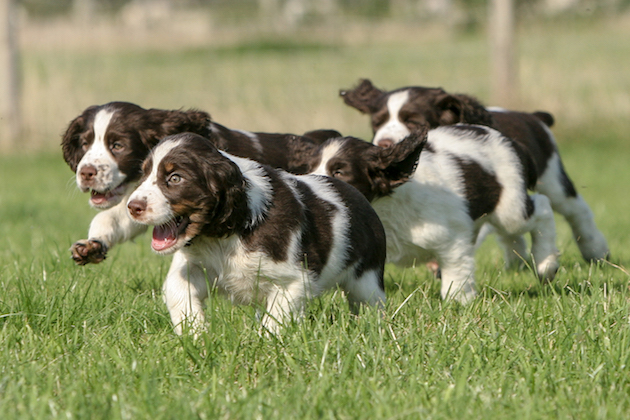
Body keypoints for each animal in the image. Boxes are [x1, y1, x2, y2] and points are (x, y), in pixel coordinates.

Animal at [126, 133, 388, 334]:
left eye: (175, 178)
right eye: (144, 174)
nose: (132, 206)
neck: (225, 235)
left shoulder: (293, 280)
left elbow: (276, 320)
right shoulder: (196, 265)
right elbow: (177, 289)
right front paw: (195, 333)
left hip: (366, 278)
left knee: (372, 304)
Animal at [308, 126, 560, 304]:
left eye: (339, 172)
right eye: (311, 167)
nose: (313, 183)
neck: (386, 206)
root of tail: (512, 142)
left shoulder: (453, 238)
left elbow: (455, 274)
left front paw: (459, 303)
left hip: (510, 208)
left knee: (542, 207)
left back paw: (546, 265)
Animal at [340, 79, 612, 262]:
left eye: (413, 121)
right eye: (377, 123)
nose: (383, 144)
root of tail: (532, 116)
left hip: (551, 177)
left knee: (576, 210)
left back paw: (595, 249)